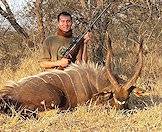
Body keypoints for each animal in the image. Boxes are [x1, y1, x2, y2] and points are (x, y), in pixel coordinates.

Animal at [0, 34, 144, 116]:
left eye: (128, 96)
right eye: (113, 94)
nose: (121, 110)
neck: (96, 81)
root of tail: (8, 95)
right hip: (54, 97)